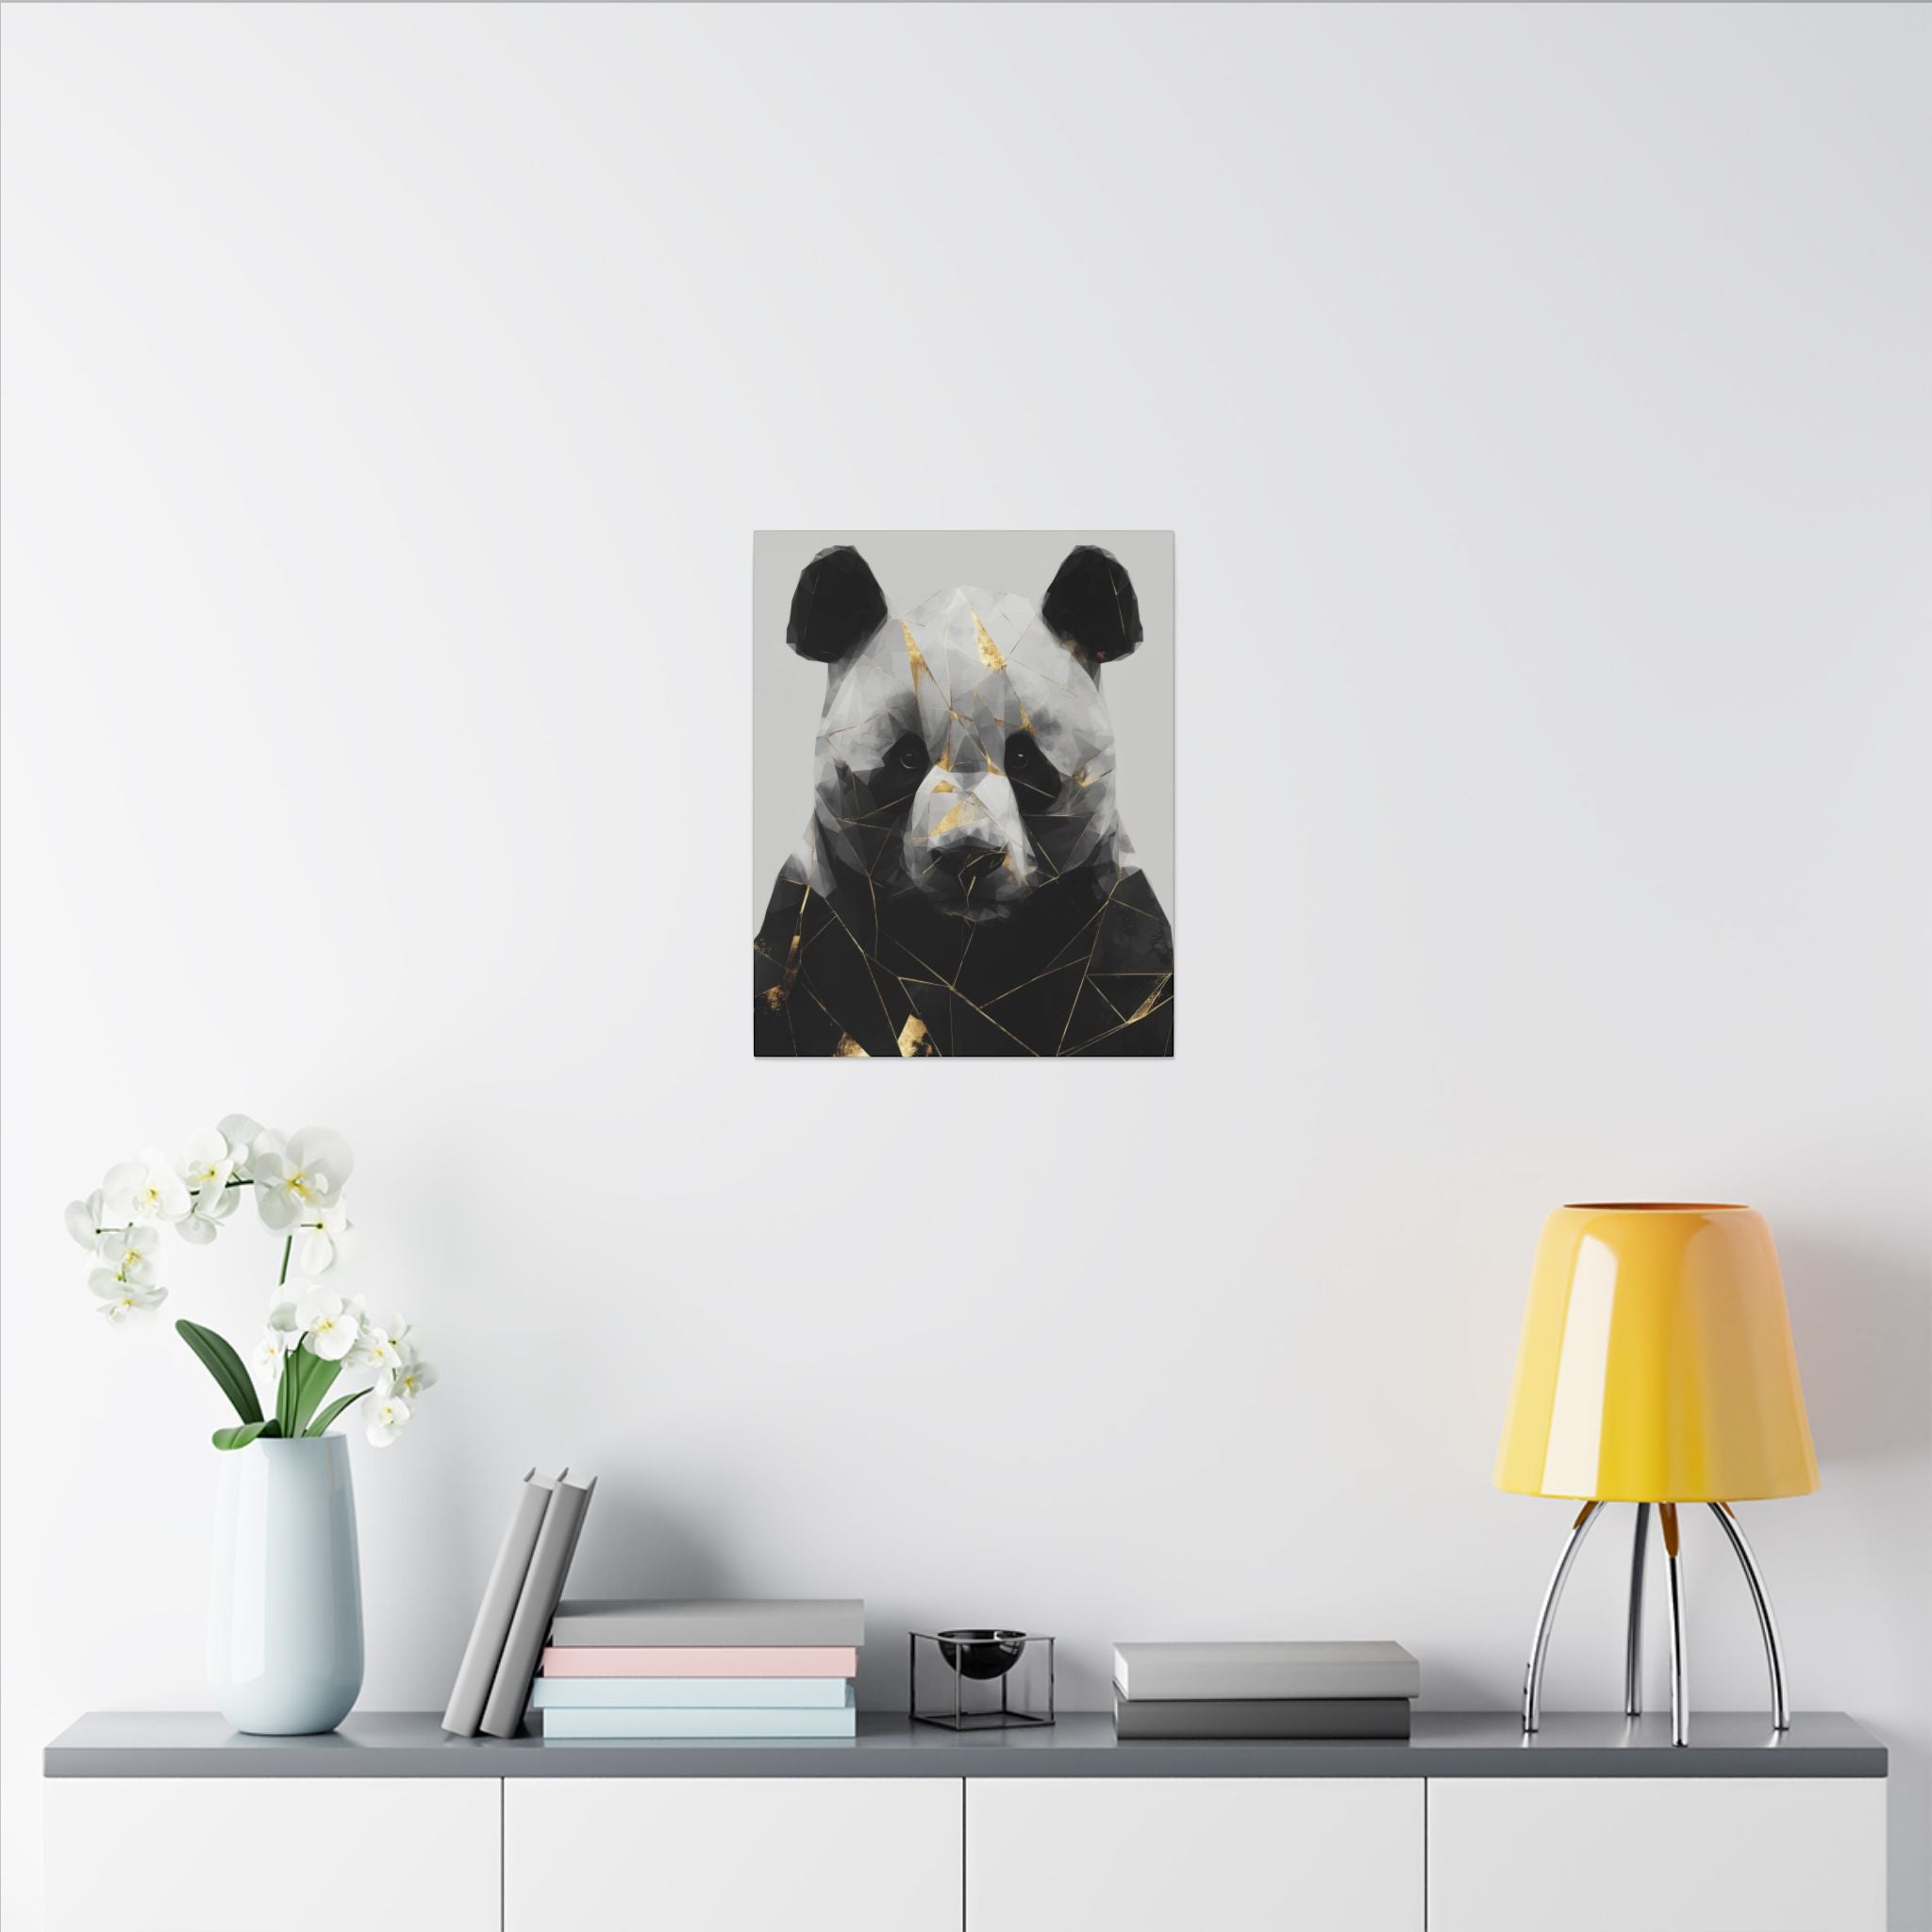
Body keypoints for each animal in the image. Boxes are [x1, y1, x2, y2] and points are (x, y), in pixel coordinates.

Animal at [754, 542, 1174, 1056]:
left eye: (1022, 758)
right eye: (908, 757)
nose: (968, 857)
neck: (964, 951)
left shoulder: (1116, 939)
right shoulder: (812, 930)